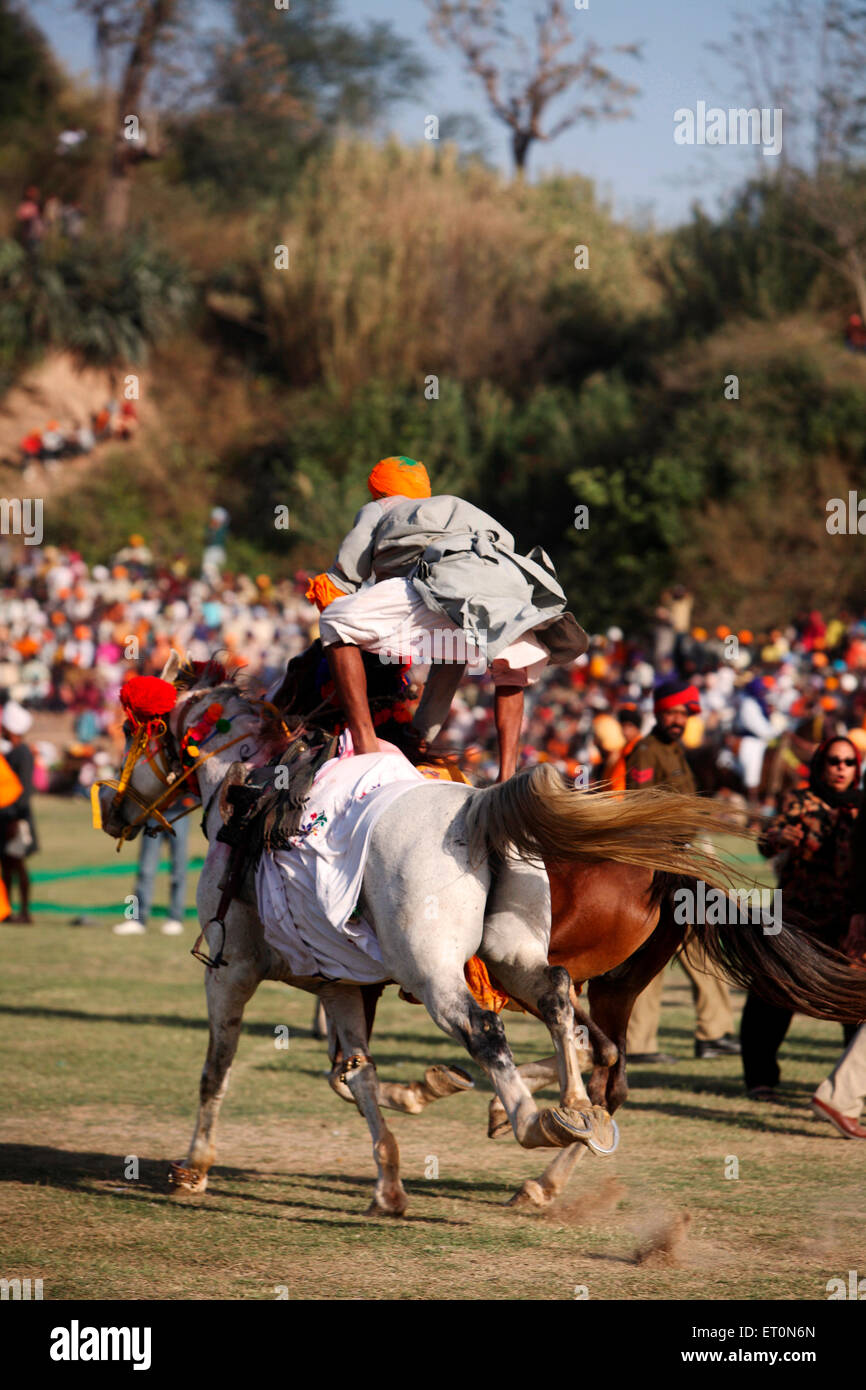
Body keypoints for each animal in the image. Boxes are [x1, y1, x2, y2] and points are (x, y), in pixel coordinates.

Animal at [96, 656, 722, 1212]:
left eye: (129, 729)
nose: (111, 806)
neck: (246, 792)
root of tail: (475, 811)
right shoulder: (340, 983)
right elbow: (355, 1073)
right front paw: (391, 1179)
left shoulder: (232, 972)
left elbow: (220, 1070)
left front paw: (194, 1166)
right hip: (528, 959)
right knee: (570, 1014)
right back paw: (569, 1117)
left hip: (438, 972)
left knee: (494, 1030)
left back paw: (528, 1123)